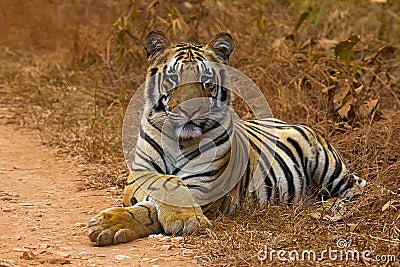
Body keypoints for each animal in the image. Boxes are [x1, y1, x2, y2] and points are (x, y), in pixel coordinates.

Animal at [87, 30, 366, 247]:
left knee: (356, 190)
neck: (178, 141)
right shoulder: (139, 175)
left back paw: (327, 209)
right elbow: (162, 183)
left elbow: (162, 197)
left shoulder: (203, 187)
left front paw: (184, 221)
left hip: (325, 163)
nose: (190, 110)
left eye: (206, 81)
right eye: (174, 78)